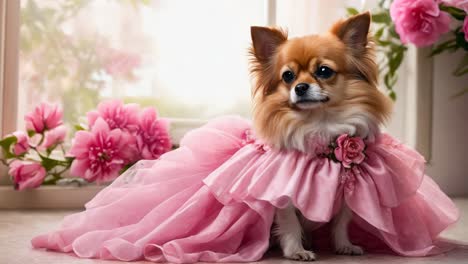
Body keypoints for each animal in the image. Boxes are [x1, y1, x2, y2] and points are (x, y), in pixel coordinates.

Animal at [249, 11, 392, 260]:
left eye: (324, 71)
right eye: (288, 76)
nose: (300, 87)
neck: (320, 122)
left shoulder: (345, 193)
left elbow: (342, 222)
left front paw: (344, 245)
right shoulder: (283, 193)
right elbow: (290, 223)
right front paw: (296, 250)